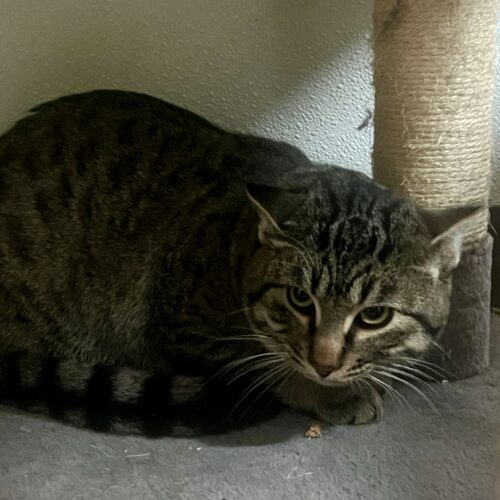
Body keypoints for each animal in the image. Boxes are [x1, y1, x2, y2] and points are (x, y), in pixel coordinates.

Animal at [0, 90, 471, 436]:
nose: (325, 363)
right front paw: (335, 392)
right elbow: (269, 367)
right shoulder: (181, 329)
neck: (237, 247)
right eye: (300, 298)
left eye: (374, 315)